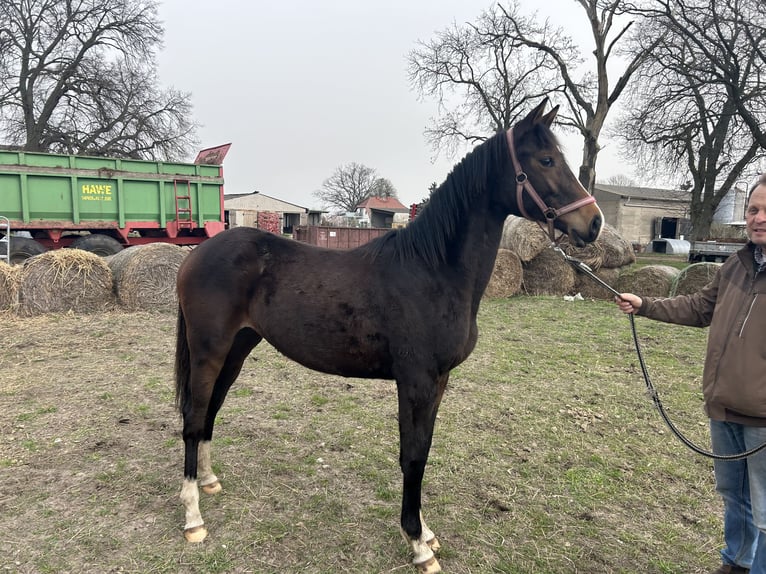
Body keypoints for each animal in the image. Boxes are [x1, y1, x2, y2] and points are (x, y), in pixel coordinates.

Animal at [176, 97, 608, 572]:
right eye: (546, 160)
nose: (594, 223)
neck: (433, 270)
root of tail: (198, 253)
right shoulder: (415, 382)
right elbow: (412, 455)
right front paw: (418, 543)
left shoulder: (439, 381)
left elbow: (423, 451)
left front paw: (425, 532)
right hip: (209, 349)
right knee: (193, 416)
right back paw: (193, 517)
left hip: (237, 348)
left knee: (209, 411)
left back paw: (209, 482)